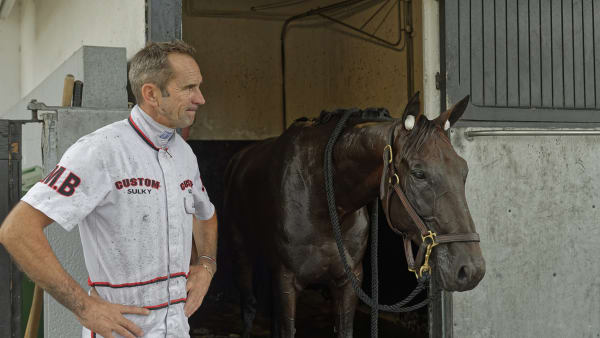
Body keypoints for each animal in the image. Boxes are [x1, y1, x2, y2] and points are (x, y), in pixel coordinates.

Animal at [223, 94, 486, 338]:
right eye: (418, 173)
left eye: (464, 170)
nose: (471, 270)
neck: (320, 196)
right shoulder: (286, 280)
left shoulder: (348, 282)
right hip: (242, 256)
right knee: (249, 308)